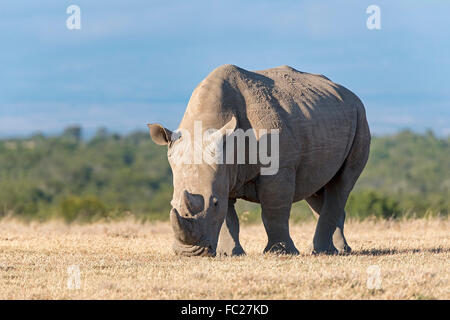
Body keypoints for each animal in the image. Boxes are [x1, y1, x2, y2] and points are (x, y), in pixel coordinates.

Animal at [149, 63, 370, 256]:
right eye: (171, 203)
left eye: (214, 203)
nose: (188, 253)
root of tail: (349, 93)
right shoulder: (224, 170)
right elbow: (229, 218)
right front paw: (229, 254)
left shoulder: (279, 168)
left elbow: (273, 212)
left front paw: (280, 252)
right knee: (315, 187)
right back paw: (337, 250)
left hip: (360, 117)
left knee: (341, 183)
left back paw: (322, 251)